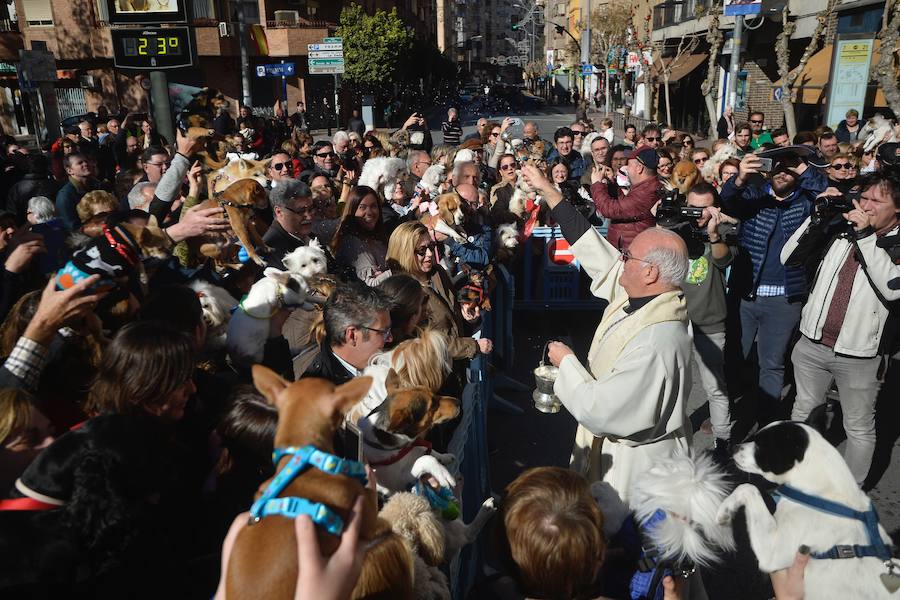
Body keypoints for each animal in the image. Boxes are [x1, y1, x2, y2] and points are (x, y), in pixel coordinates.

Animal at [716, 422, 900, 600]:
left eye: (761, 445)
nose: (733, 447)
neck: (820, 496)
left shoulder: (772, 553)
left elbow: (748, 487)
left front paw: (723, 510)